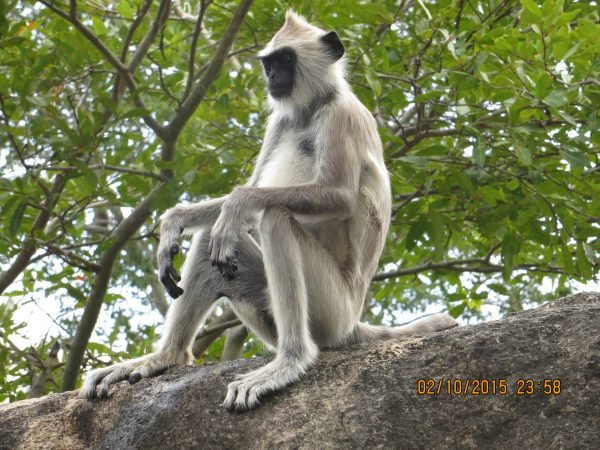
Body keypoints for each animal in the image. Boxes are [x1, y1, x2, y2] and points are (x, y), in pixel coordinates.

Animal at [80, 11, 458, 411]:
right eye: (269, 63)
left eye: (286, 60)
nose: (273, 77)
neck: (311, 109)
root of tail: (354, 325)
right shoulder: (280, 122)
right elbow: (247, 196)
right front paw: (174, 221)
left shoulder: (341, 114)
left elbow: (333, 196)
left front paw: (237, 202)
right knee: (213, 237)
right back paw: (166, 357)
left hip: (332, 310)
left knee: (276, 219)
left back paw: (292, 360)